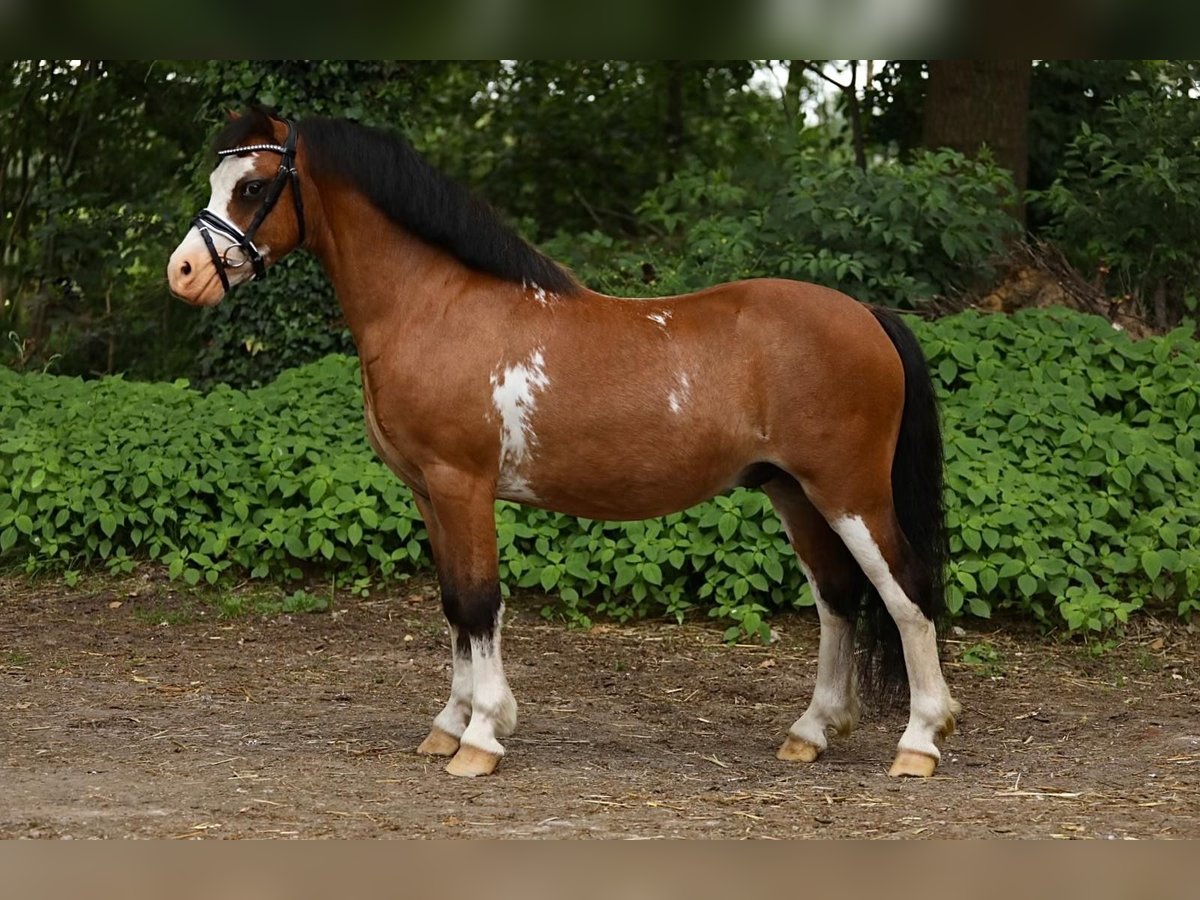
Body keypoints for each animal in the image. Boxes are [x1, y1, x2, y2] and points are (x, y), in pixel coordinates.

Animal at [169, 107, 955, 782]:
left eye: (253, 185)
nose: (183, 274)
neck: (437, 306)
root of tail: (868, 314)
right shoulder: (427, 492)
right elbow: (453, 603)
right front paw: (449, 726)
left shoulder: (461, 484)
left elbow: (479, 601)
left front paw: (482, 737)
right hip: (794, 492)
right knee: (838, 599)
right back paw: (812, 732)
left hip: (849, 494)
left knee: (907, 593)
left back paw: (919, 742)